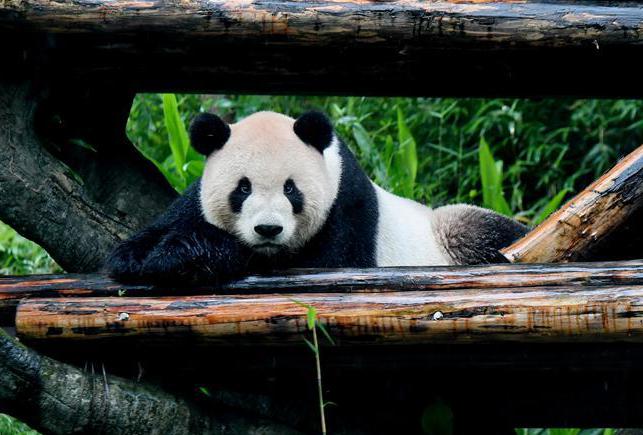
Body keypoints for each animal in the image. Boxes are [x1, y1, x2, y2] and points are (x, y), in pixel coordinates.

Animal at [106, 110, 527, 285]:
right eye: (242, 188)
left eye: (291, 189)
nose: (268, 229)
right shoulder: (193, 200)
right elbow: (134, 245)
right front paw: (150, 254)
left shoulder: (348, 210)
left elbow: (325, 262)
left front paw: (183, 255)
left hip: (450, 232)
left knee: (483, 231)